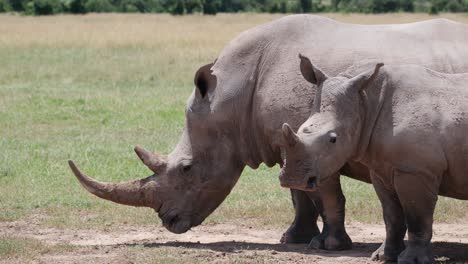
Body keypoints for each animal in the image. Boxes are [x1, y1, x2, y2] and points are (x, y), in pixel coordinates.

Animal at [280, 54, 468, 262]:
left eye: (333, 139)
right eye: (300, 129)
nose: (292, 179)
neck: (366, 103)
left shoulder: (416, 170)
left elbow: (417, 217)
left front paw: (411, 260)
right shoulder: (382, 169)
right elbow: (391, 216)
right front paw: (382, 257)